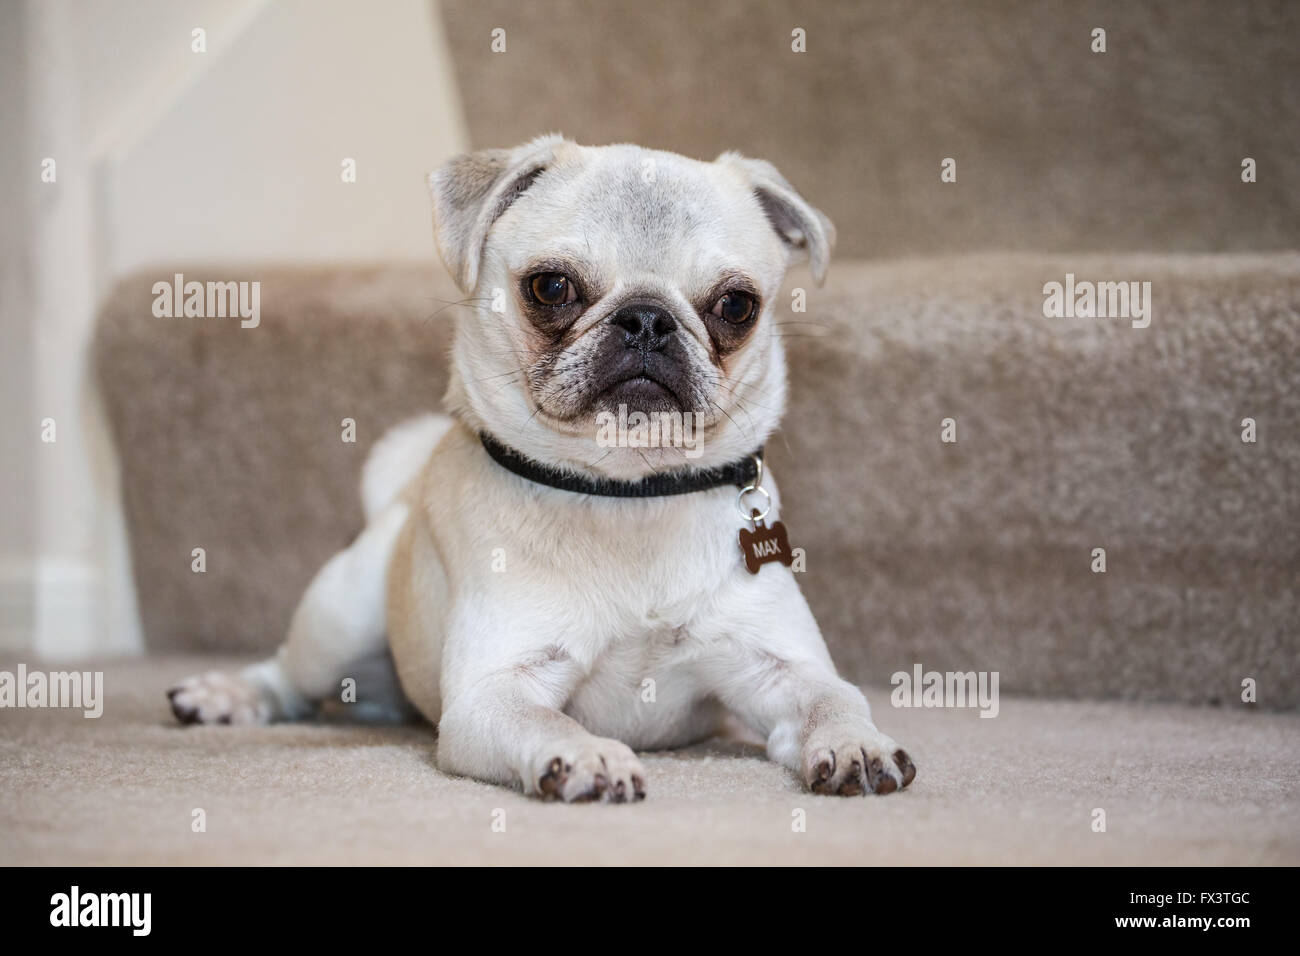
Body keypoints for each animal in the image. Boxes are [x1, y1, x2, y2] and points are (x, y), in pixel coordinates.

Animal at [170, 134, 915, 806]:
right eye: (551, 287)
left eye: (737, 305)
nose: (648, 319)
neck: (628, 494)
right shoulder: (492, 694)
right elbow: (543, 720)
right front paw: (586, 755)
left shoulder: (778, 670)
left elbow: (834, 699)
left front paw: (858, 743)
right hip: (340, 615)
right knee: (288, 675)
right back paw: (226, 695)